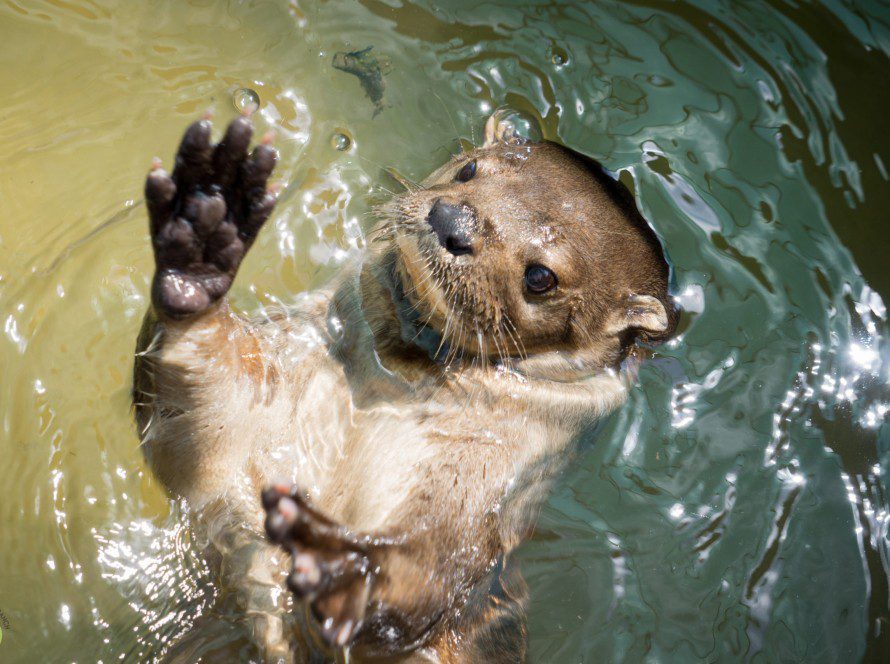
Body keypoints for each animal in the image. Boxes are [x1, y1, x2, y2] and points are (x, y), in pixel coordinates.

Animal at [134, 112, 675, 662]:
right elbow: (198, 417)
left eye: (541, 276)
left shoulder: (473, 491)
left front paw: (340, 564)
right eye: (469, 170)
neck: (381, 394)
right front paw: (201, 241)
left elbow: (426, 582)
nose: (453, 221)